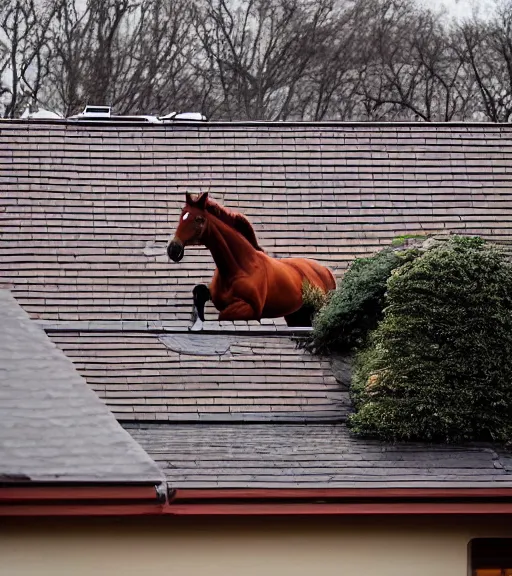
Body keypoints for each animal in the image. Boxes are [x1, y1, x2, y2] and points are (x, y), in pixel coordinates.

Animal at [167, 194, 336, 328]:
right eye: (182, 216)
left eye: (199, 219)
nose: (173, 249)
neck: (240, 267)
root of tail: (326, 271)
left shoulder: (251, 309)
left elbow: (223, 316)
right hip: (296, 315)